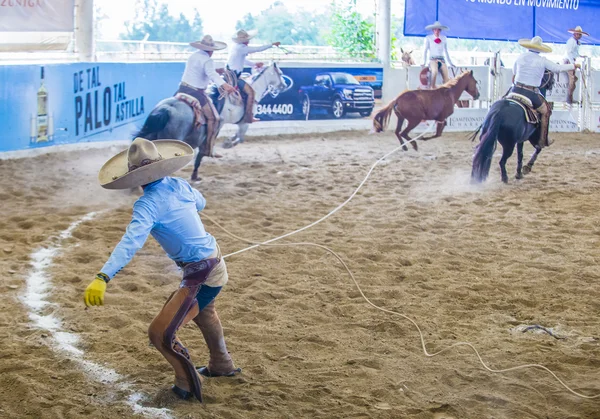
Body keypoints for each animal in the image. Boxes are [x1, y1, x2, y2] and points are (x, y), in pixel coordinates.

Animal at [135, 62, 288, 180]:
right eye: (280, 73)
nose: (284, 85)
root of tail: (167, 109)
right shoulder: (241, 123)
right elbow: (239, 138)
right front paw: (227, 144)